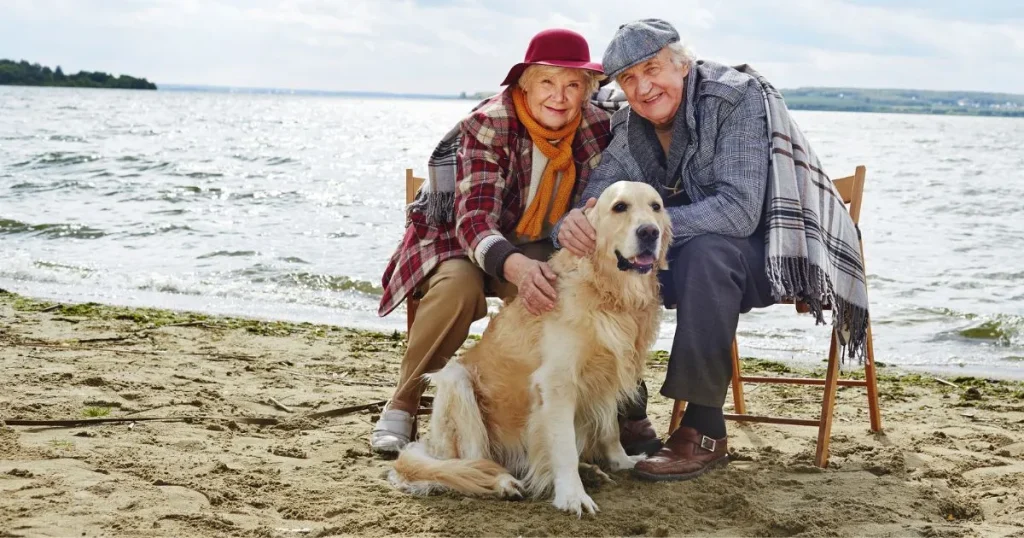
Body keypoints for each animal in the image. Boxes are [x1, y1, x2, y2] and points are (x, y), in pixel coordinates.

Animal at [387, 181, 667, 516]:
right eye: (620, 207)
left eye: (656, 207)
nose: (650, 232)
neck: (608, 292)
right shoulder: (557, 384)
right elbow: (563, 446)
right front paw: (572, 495)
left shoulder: (608, 375)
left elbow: (610, 429)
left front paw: (622, 461)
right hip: (457, 382)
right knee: (472, 462)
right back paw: (504, 482)